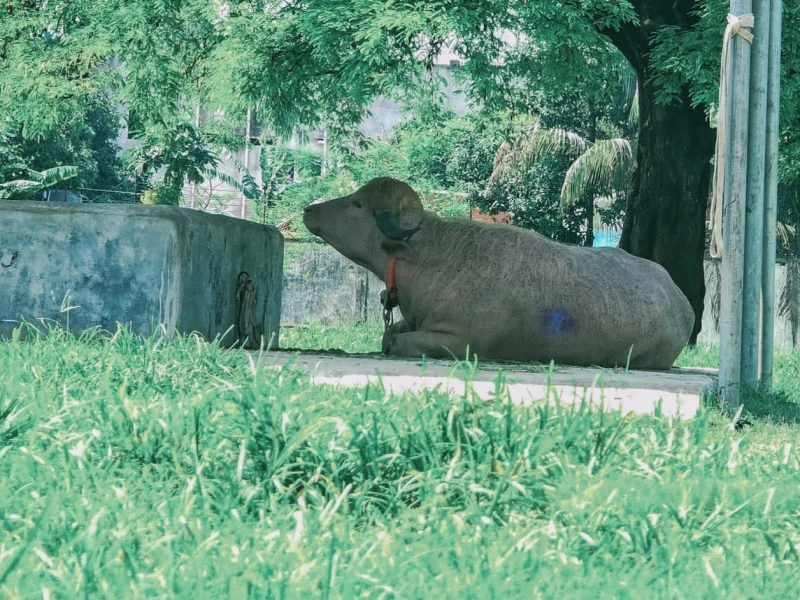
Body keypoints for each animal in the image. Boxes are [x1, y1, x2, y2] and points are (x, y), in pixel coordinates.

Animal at [303, 177, 694, 370]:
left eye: (356, 204)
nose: (309, 210)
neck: (433, 261)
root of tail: (682, 302)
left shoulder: (461, 342)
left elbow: (396, 342)